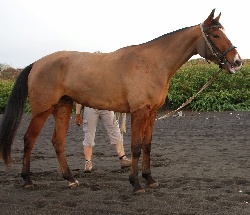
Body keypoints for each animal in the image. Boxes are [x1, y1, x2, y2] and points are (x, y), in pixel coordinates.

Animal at [0, 9, 242, 194]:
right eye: (216, 35)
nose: (237, 62)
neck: (153, 62)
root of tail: (36, 63)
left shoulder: (152, 112)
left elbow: (147, 145)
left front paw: (149, 179)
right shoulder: (139, 111)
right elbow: (135, 147)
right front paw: (136, 184)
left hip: (63, 107)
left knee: (57, 142)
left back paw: (70, 179)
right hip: (42, 110)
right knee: (28, 140)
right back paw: (27, 180)